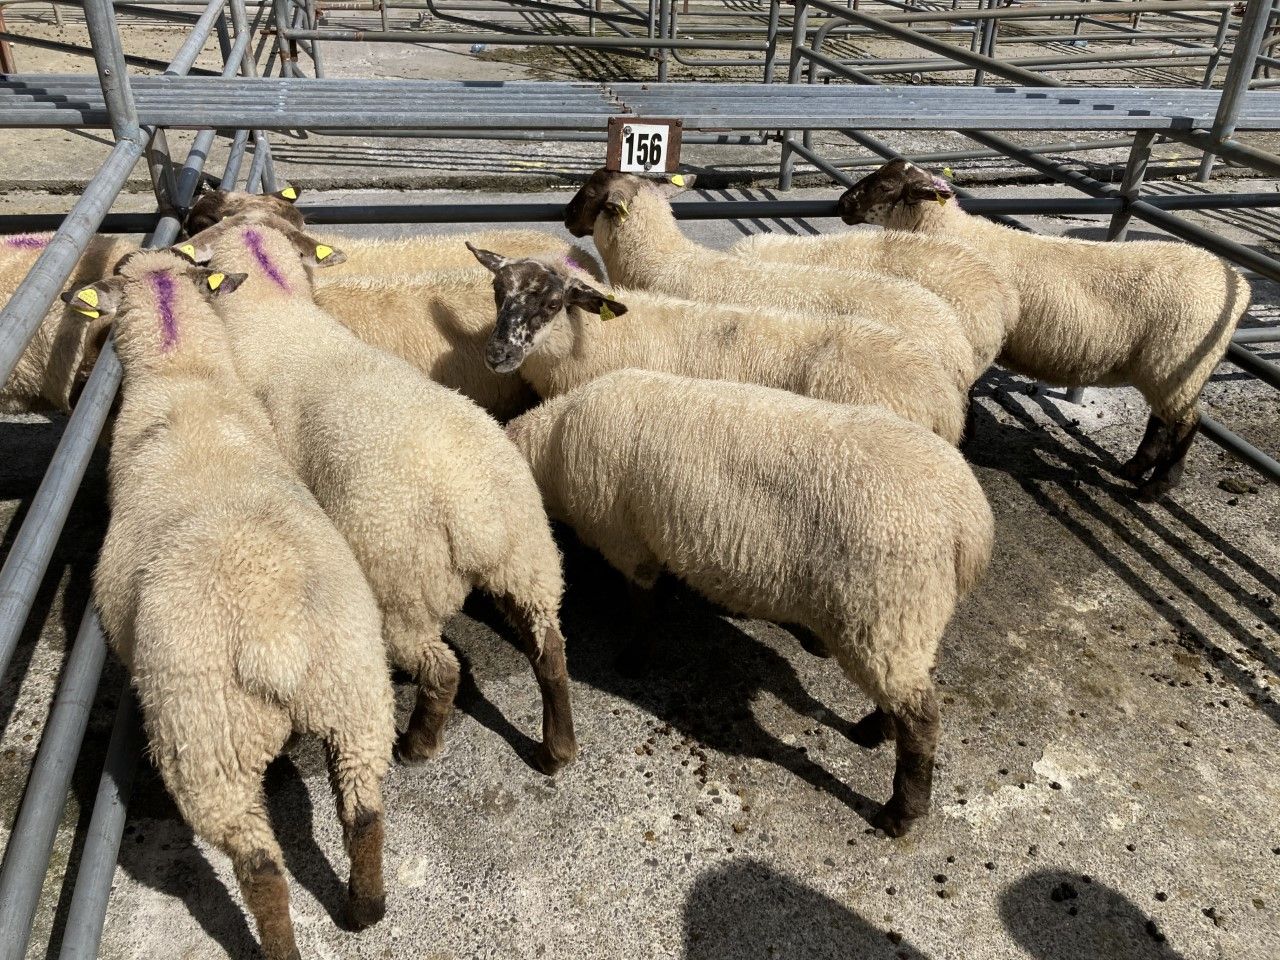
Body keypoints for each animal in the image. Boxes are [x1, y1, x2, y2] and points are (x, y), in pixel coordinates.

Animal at [72, 249, 395, 960]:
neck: (182, 374)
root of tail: (275, 639)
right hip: (355, 692)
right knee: (363, 815)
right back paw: (365, 910)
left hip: (204, 743)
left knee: (261, 868)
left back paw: (280, 943)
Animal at [179, 217, 578, 774]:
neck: (275, 314)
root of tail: (476, 517)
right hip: (530, 562)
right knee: (551, 651)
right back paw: (557, 750)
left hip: (401, 591)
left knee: (443, 672)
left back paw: (417, 747)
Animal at [506, 368, 995, 836]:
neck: (553, 441)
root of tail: (970, 521)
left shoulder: (627, 540)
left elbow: (642, 603)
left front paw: (634, 658)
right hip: (906, 616)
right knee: (910, 686)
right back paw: (874, 730)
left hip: (882, 607)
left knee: (922, 720)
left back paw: (900, 813)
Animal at [838, 159, 1252, 499]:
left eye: (885, 186)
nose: (841, 204)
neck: (948, 232)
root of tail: (1238, 283)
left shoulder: (969, 331)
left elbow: (965, 391)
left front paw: (968, 435)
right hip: (1170, 367)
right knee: (1163, 419)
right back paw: (1134, 468)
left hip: (1179, 360)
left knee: (1185, 424)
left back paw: (1157, 487)